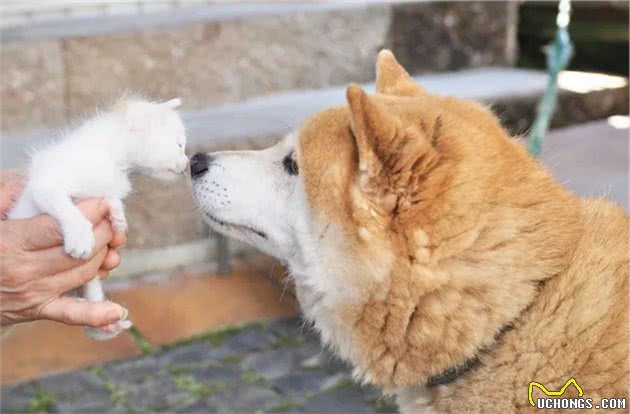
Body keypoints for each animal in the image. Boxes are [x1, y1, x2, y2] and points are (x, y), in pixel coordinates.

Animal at [9, 96, 188, 340]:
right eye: (179, 145)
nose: (187, 164)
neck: (113, 157)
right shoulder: (45, 185)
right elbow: (66, 207)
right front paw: (79, 237)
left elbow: (110, 198)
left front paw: (117, 216)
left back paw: (104, 327)